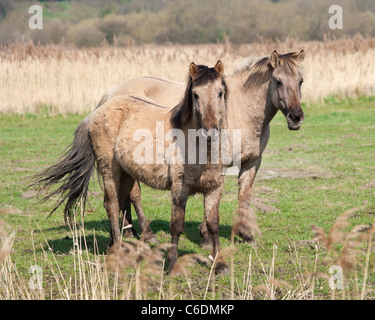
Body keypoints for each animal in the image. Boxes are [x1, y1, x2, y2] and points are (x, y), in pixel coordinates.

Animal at [33, 61, 231, 274]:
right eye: (195, 94)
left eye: (220, 92)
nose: (210, 130)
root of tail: (98, 111)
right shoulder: (180, 188)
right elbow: (177, 225)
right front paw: (172, 264)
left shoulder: (214, 188)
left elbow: (213, 224)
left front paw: (220, 264)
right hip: (109, 170)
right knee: (111, 205)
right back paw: (119, 250)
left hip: (126, 174)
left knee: (119, 202)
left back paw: (113, 246)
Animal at [94, 50, 306, 244]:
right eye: (278, 81)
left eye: (301, 81)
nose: (296, 118)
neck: (241, 110)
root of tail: (109, 95)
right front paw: (206, 237)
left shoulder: (252, 162)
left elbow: (244, 195)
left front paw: (246, 235)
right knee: (134, 194)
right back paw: (146, 233)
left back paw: (129, 230)